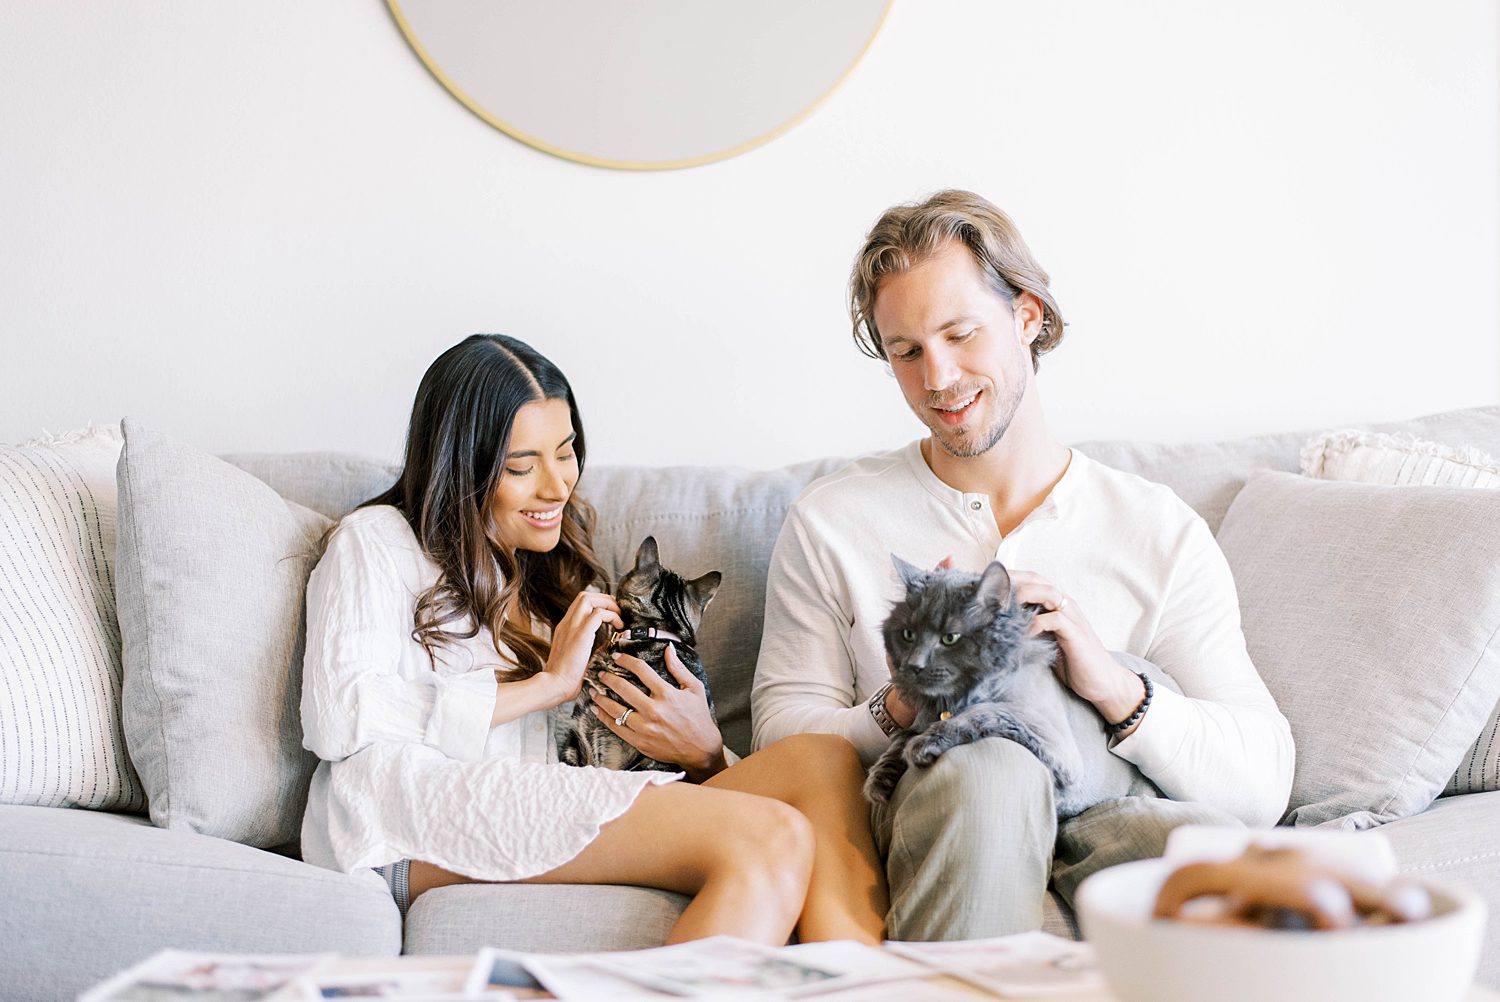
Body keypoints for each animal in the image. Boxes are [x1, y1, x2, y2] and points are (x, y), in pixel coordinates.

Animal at [864, 555, 1176, 822]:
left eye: (950, 638)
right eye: (908, 635)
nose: (914, 665)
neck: (951, 701)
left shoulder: (1050, 740)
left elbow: (984, 713)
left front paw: (924, 744)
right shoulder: (920, 719)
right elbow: (900, 737)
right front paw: (880, 779)